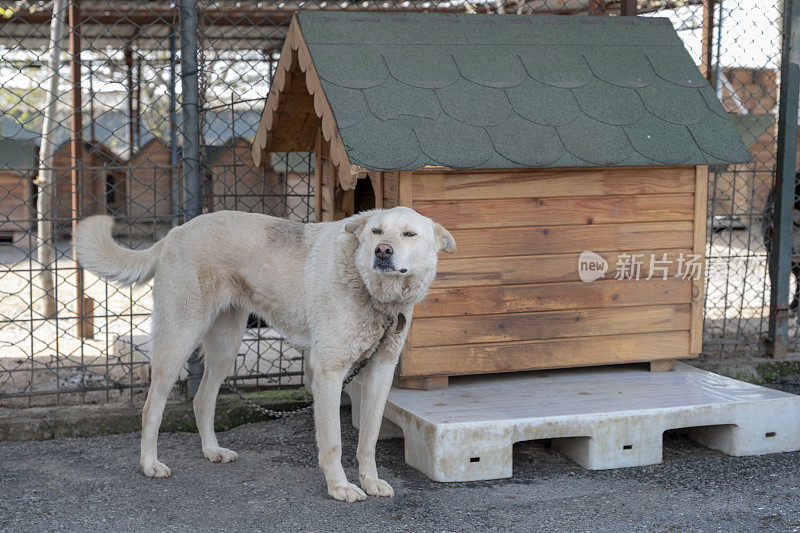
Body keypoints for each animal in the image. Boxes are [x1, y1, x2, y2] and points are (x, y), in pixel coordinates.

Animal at [75, 207, 456, 498]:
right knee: (151, 407)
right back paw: (149, 464)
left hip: (225, 349)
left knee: (202, 400)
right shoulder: (329, 371)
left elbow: (368, 439)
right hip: (178, 341)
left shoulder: (380, 372)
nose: (382, 251)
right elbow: (333, 441)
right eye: (377, 231)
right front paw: (339, 487)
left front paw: (371, 481)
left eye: (409, 234)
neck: (375, 294)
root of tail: (176, 232)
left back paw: (211, 451)